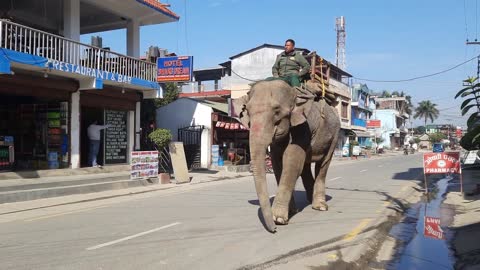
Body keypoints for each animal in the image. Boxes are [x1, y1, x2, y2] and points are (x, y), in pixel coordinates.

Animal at [235, 78, 342, 232]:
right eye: (247, 111)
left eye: (277, 110)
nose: (273, 230)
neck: (294, 93)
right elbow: (278, 164)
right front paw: (291, 212)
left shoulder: (304, 126)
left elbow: (292, 163)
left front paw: (278, 219)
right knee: (305, 166)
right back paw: (310, 200)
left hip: (334, 134)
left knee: (323, 165)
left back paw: (320, 206)